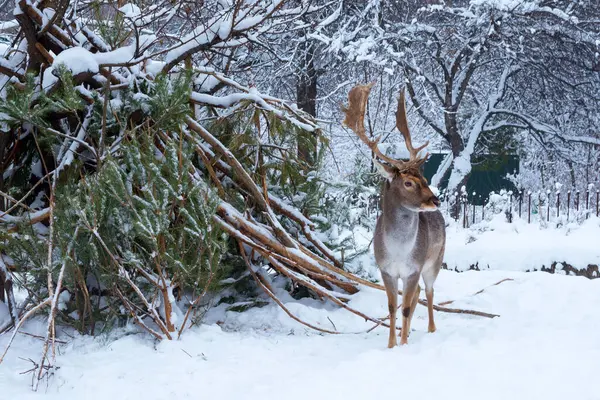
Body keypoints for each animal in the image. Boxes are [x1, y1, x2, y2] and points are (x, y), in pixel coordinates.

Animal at [342, 83, 446, 348]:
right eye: (408, 182)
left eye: (425, 179)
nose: (435, 200)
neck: (399, 250)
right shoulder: (386, 269)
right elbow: (392, 307)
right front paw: (392, 345)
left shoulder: (414, 268)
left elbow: (406, 309)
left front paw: (404, 346)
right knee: (418, 294)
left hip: (435, 260)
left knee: (429, 292)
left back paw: (431, 329)